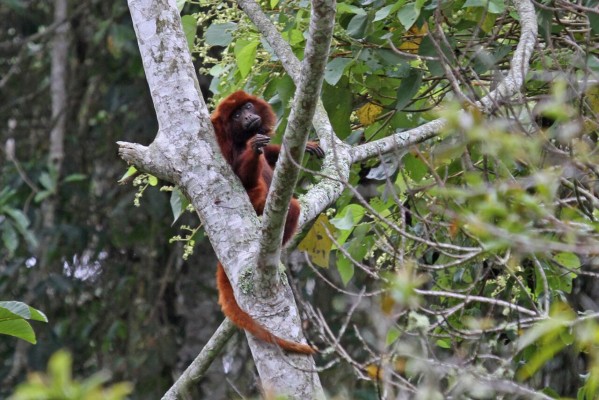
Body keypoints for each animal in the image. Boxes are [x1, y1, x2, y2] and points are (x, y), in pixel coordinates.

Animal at [211, 90, 324, 354]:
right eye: (236, 115)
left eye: (247, 107)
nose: (247, 117)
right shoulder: (222, 144)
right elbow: (238, 177)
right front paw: (253, 149)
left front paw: (303, 147)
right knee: (288, 206)